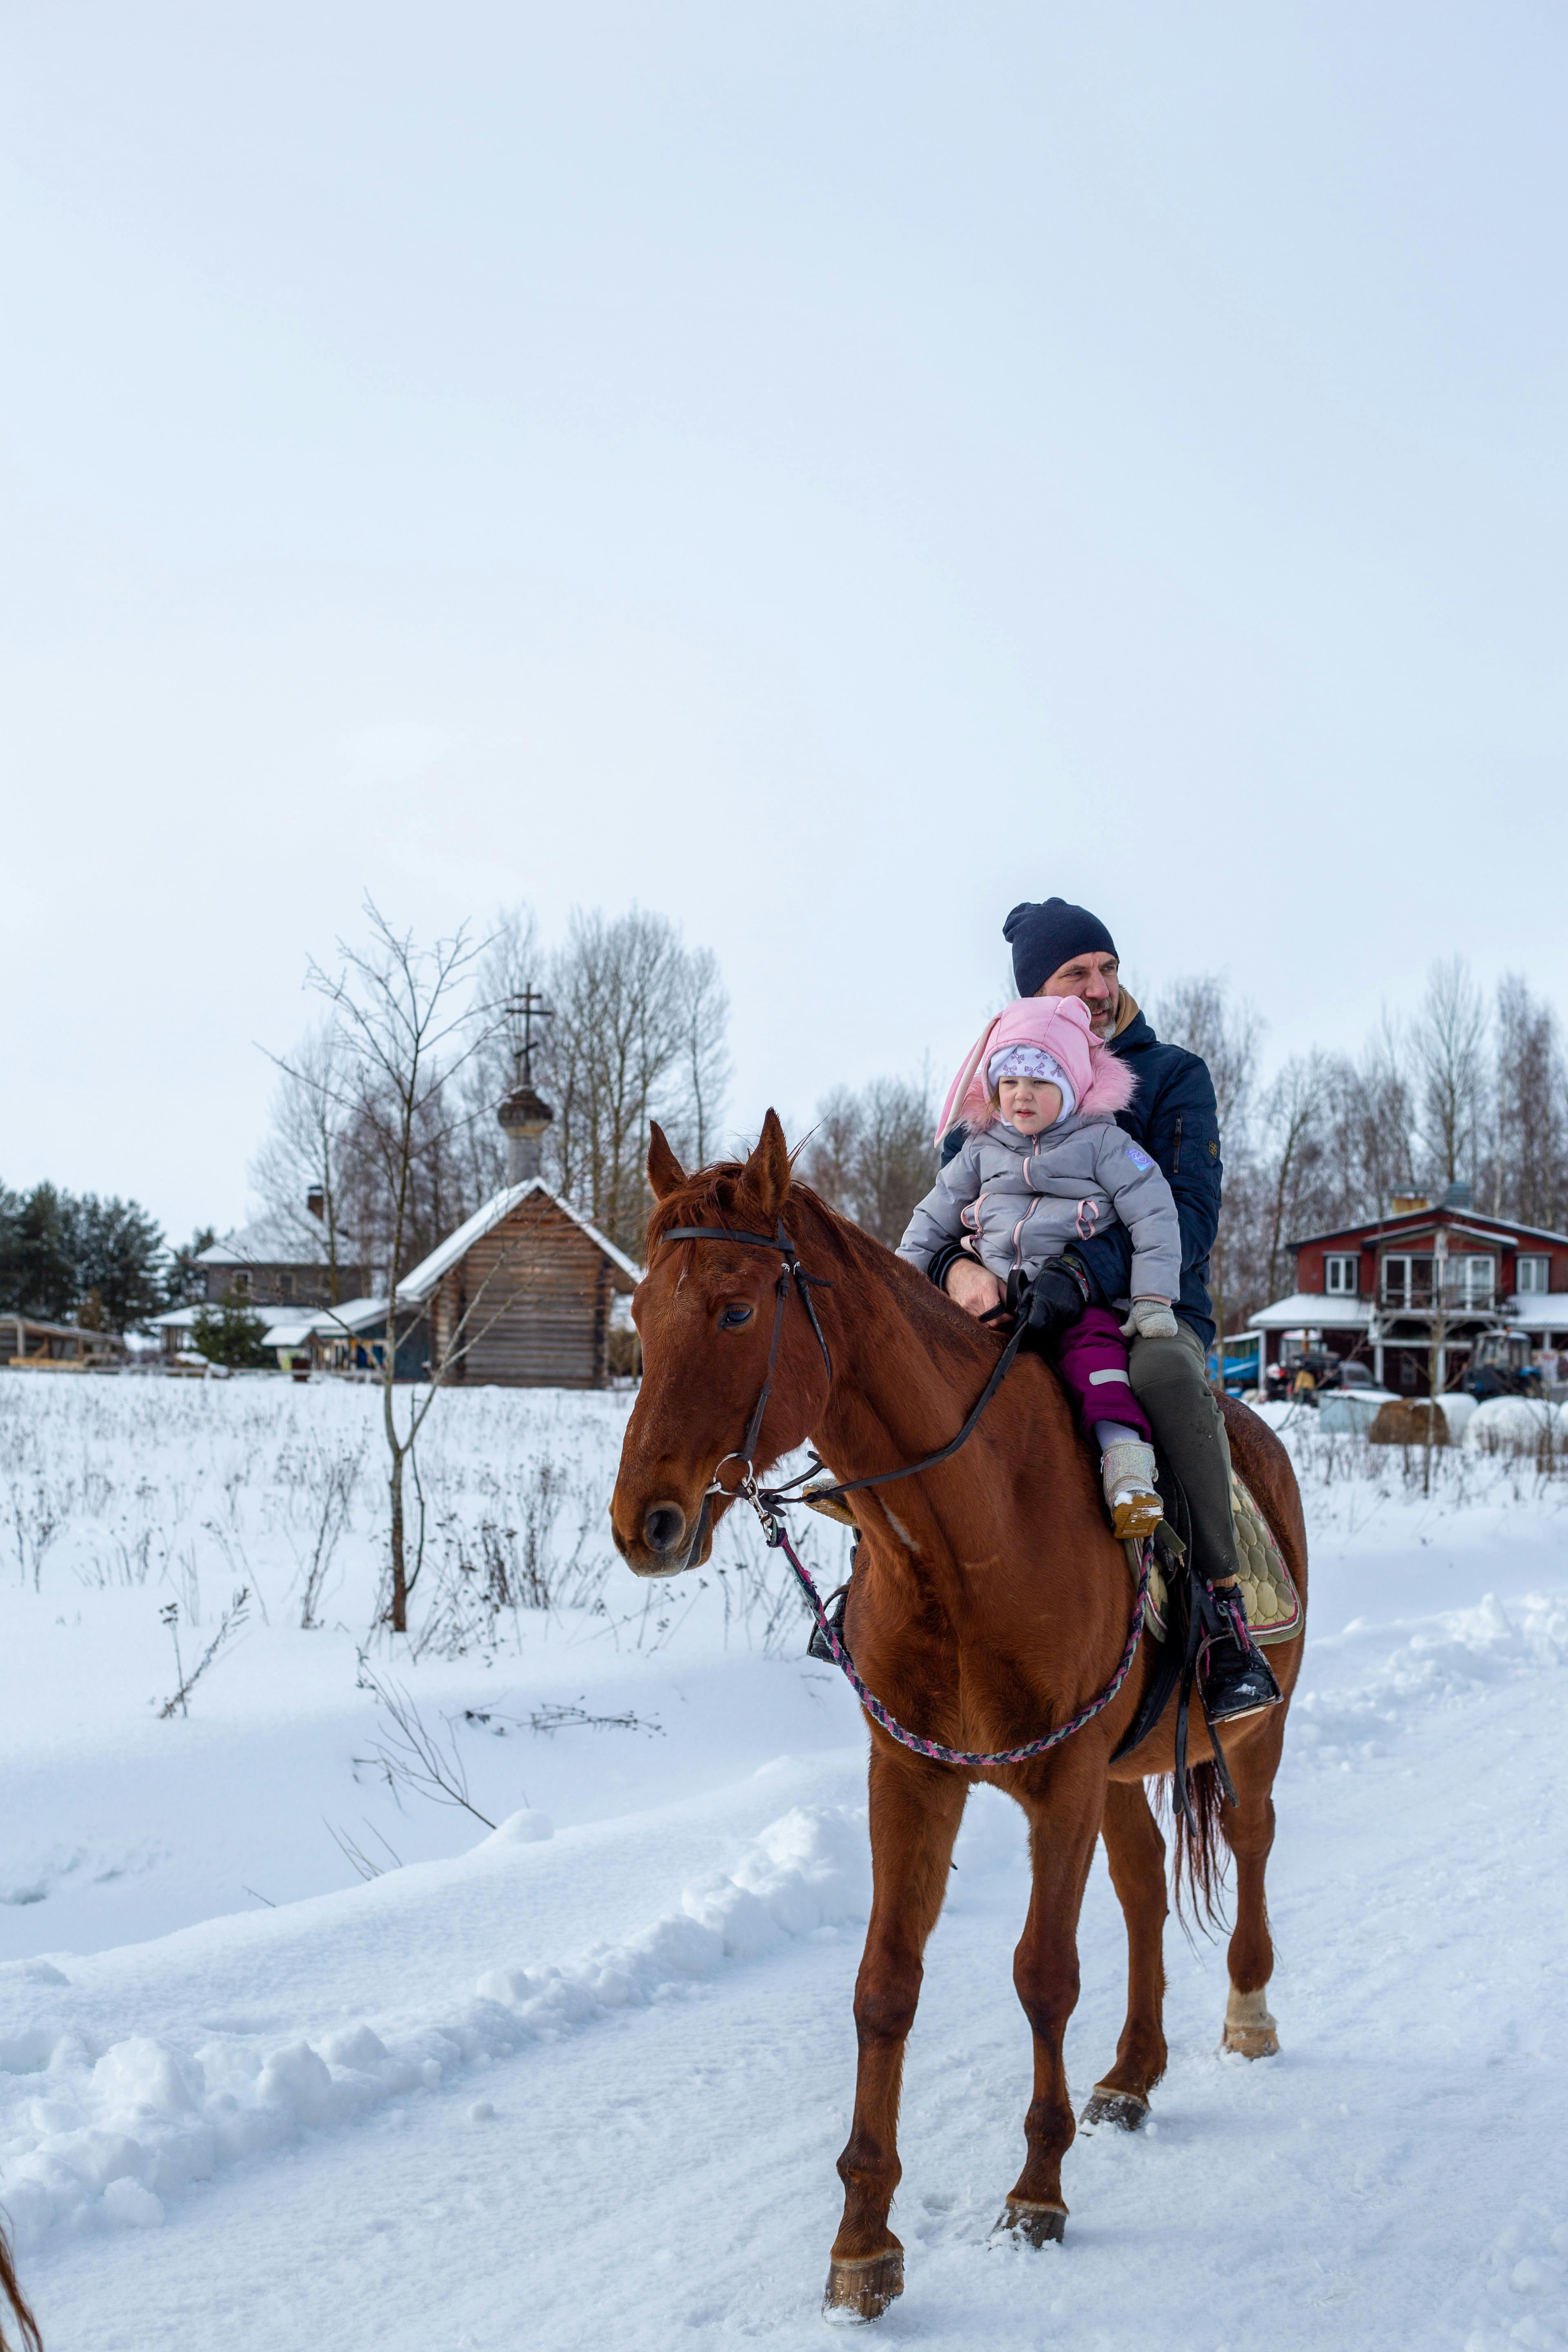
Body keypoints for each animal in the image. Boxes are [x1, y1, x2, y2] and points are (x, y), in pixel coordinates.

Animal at [609, 1112, 1307, 2322]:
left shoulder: (1060, 1777)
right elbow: (885, 1985)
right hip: (1116, 1771)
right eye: (643, 1315)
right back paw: (1132, 2071)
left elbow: (1042, 1974)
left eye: (736, 1310)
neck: (971, 1532)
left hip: (1249, 1731)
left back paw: (1247, 2013)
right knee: (1141, 1882)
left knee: (1249, 1839)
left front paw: (1037, 2190)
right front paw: (862, 2243)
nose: (639, 1521)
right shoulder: (914, 1772)